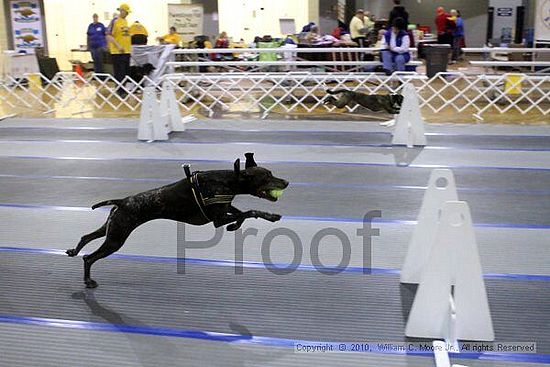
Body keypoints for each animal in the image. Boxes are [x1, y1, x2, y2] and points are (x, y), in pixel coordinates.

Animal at [69, 153, 288, 290]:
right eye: (266, 177)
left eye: (271, 173)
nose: (286, 182)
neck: (228, 180)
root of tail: (122, 201)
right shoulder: (217, 219)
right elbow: (248, 212)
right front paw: (243, 222)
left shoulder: (225, 209)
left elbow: (245, 214)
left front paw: (260, 219)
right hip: (116, 238)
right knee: (89, 258)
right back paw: (88, 280)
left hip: (111, 228)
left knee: (86, 237)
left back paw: (73, 251)